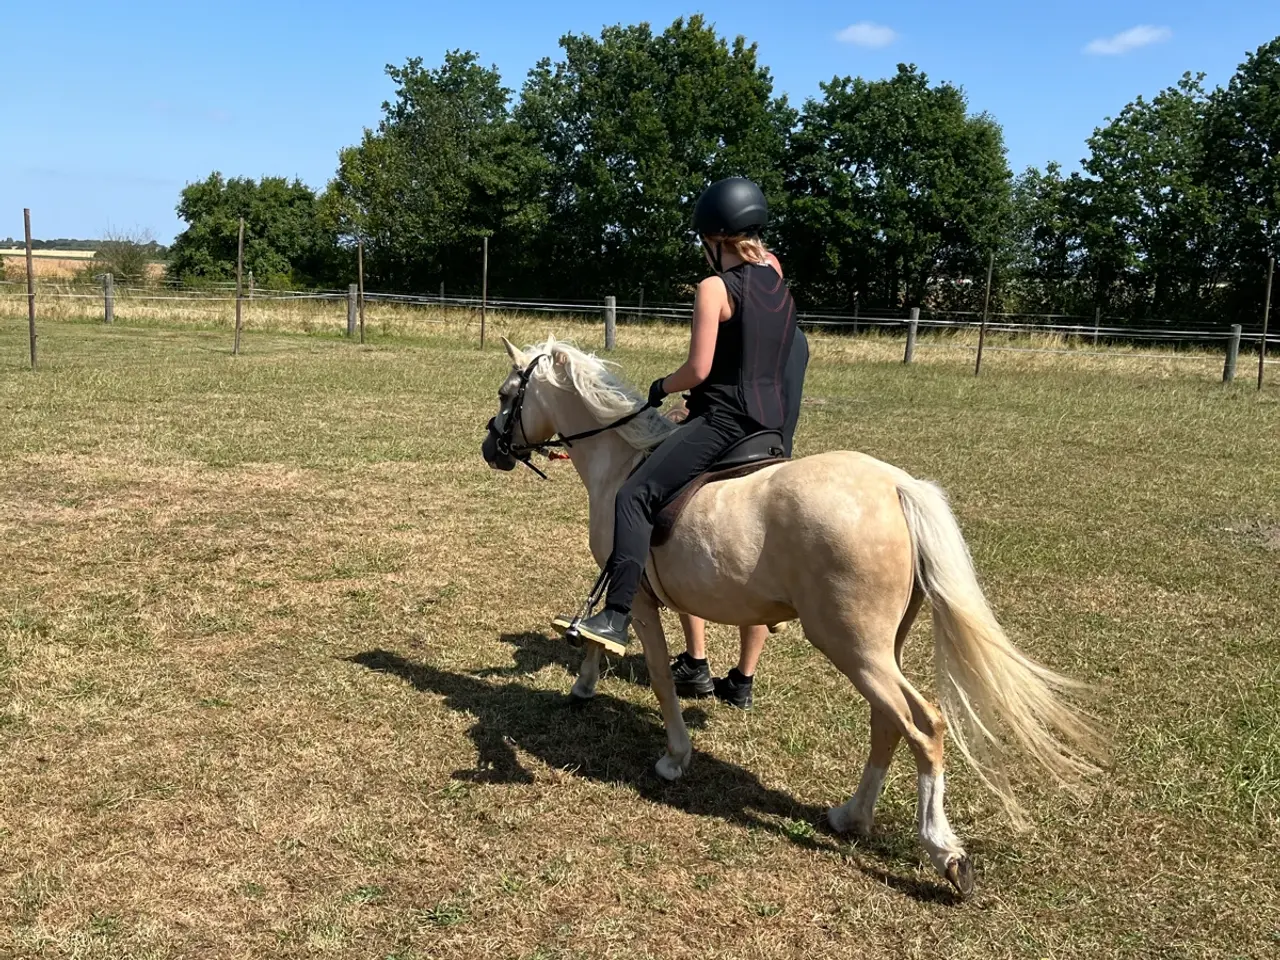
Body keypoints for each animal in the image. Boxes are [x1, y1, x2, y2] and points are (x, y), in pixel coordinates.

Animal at [481, 336, 1106, 898]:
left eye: (509, 393)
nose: (491, 448)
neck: (622, 461)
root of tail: (896, 485)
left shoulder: (634, 595)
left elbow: (653, 672)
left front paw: (674, 758)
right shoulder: (632, 588)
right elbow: (603, 643)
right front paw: (584, 685)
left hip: (851, 644)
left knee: (924, 725)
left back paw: (944, 852)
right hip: (880, 647)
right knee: (889, 721)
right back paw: (851, 817)